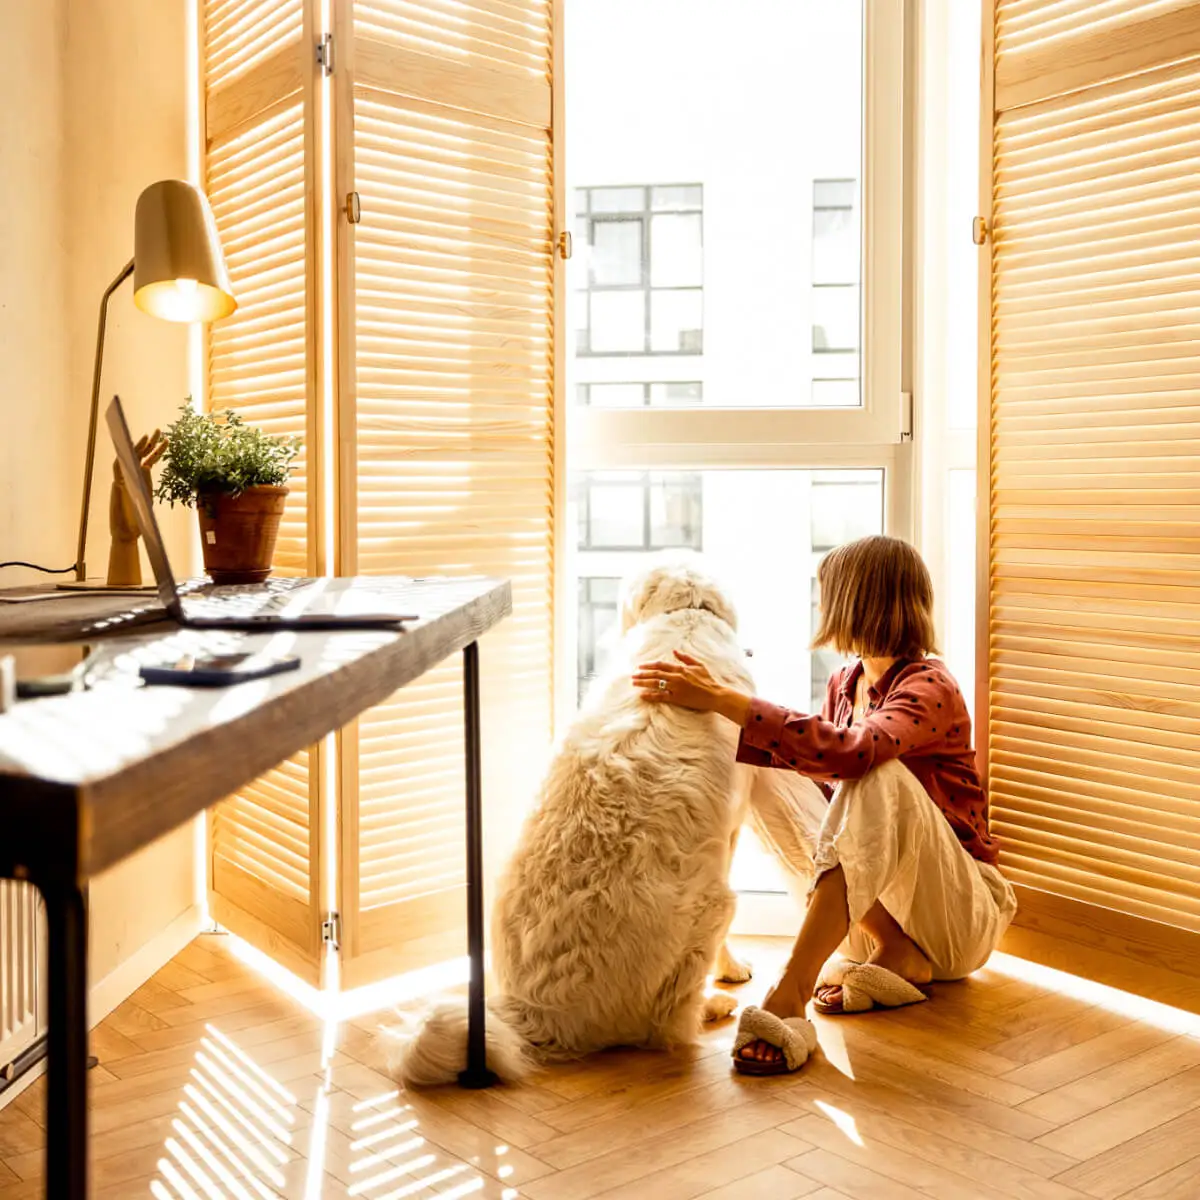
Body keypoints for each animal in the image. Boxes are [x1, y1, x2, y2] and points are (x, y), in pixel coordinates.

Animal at [388, 556, 820, 1084]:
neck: (686, 613)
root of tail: (534, 1014)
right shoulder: (731, 831)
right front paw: (733, 969)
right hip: (715, 907)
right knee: (667, 1027)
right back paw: (713, 1006)